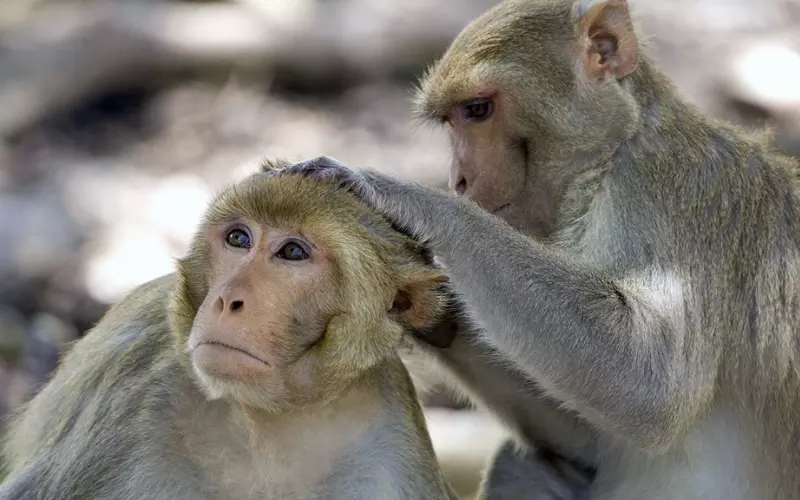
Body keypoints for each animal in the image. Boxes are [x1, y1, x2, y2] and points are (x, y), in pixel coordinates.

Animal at [0, 159, 460, 500]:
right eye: (239, 239)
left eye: (293, 252)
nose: (226, 300)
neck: (270, 419)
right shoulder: (134, 389)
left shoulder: (387, 442)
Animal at [268, 0, 800, 496]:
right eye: (455, 120)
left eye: (477, 110)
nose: (458, 180)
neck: (608, 161)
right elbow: (585, 439)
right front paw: (421, 306)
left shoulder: (669, 192)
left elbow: (653, 382)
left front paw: (399, 197)